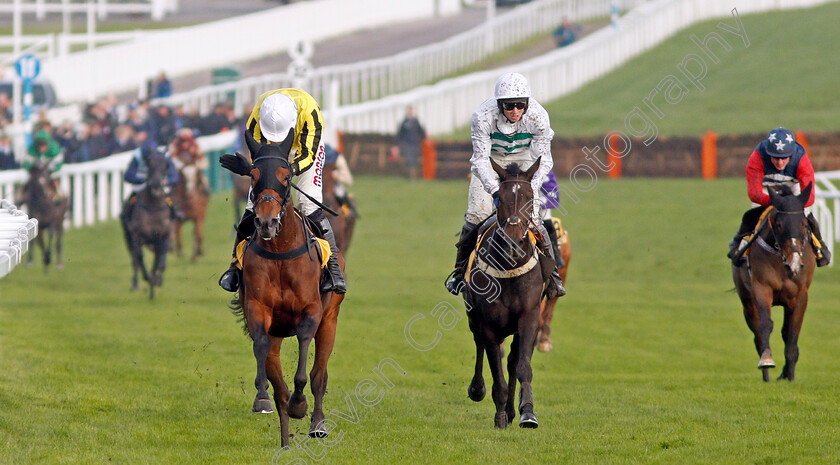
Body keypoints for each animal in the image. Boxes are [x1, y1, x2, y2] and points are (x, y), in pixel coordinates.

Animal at [122, 150, 173, 300]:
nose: (156, 185)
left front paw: (157, 280)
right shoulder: (136, 236)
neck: (153, 206)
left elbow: (161, 261)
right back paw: (136, 284)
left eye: (166, 165)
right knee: (134, 260)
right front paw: (148, 277)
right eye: (149, 164)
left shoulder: (163, 236)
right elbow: (139, 258)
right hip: (128, 238)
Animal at [221, 130, 346, 446]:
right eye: (253, 175)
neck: (280, 252)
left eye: (286, 176)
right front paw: (261, 397)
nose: (266, 222)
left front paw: (300, 404)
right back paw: (285, 441)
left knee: (319, 375)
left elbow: (304, 356)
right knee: (279, 384)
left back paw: (317, 424)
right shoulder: (258, 310)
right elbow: (261, 347)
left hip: (330, 320)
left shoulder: (312, 311)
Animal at [466, 157, 544, 428]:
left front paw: (527, 413)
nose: (512, 243)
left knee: (512, 361)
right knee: (479, 345)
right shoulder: (489, 323)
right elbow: (496, 371)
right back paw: (478, 390)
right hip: (474, 317)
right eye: (500, 198)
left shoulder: (529, 316)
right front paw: (499, 416)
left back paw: (512, 411)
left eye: (530, 197)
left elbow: (522, 367)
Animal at [732, 183, 816, 382]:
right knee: (757, 335)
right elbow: (765, 325)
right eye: (779, 224)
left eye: (803, 224)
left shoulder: (800, 296)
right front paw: (766, 360)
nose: (794, 264)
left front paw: (790, 376)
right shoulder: (762, 289)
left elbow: (791, 333)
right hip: (747, 302)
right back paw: (766, 377)